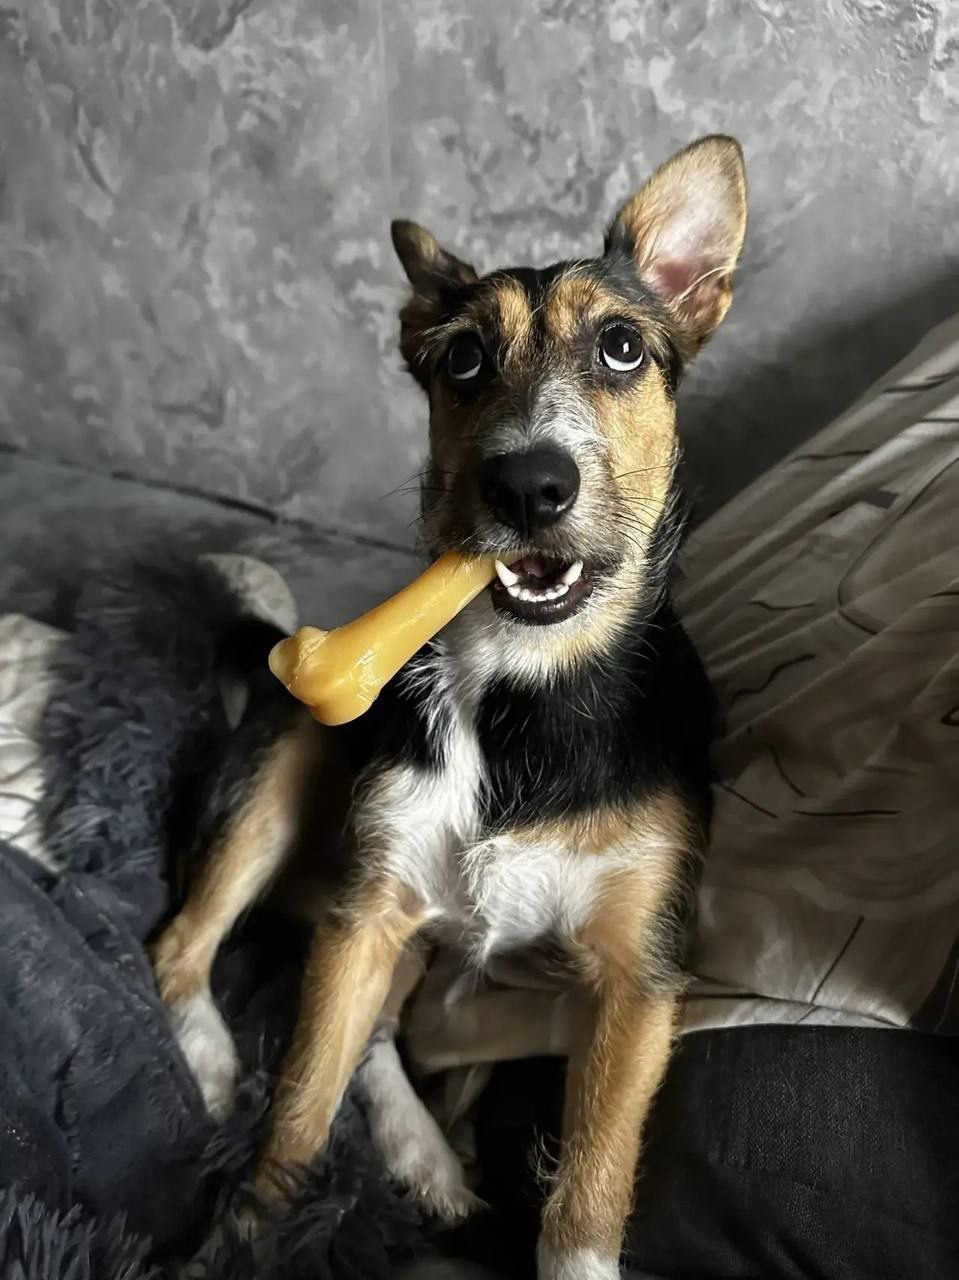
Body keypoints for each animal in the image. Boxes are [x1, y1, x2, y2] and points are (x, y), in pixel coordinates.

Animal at [153, 134, 746, 1280]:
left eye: (620, 347)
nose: (529, 486)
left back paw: (429, 1160)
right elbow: (297, 1113)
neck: (525, 689)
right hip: (296, 760)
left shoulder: (635, 976)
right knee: (184, 952)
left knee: (387, 1036)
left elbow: (587, 1192)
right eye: (462, 360)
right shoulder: (370, 907)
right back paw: (211, 1068)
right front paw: (241, 1234)